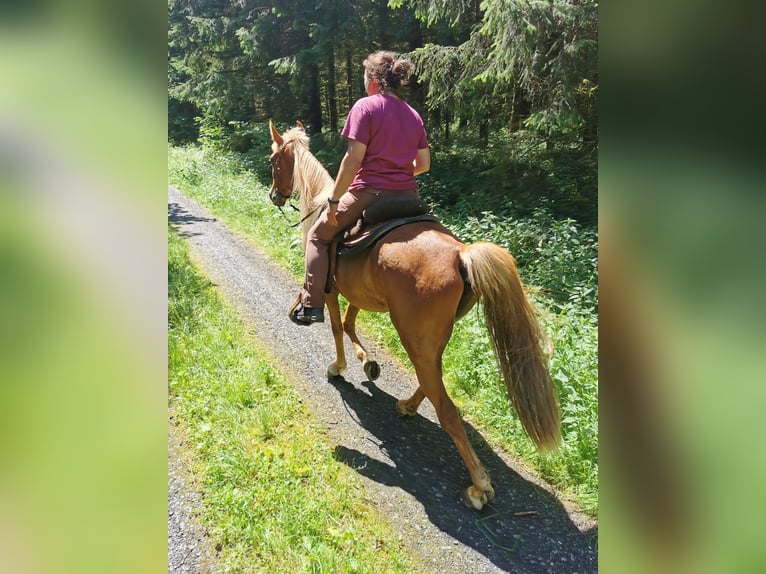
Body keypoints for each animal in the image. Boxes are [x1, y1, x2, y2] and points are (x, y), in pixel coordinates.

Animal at [268, 121, 561, 510]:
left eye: (274, 160)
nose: (274, 195)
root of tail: (462, 254)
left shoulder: (329, 290)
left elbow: (335, 326)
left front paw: (339, 366)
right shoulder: (360, 293)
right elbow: (349, 323)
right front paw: (367, 362)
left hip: (412, 333)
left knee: (446, 407)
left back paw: (479, 486)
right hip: (431, 335)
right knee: (433, 376)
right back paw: (407, 404)